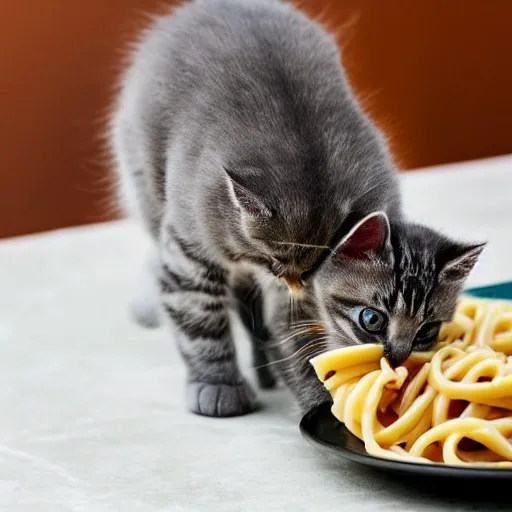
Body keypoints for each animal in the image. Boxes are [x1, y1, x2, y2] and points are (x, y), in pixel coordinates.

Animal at [109, 0, 484, 416]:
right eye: (274, 258)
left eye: (428, 332)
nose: (296, 284)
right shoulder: (190, 252)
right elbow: (200, 322)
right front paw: (218, 384)